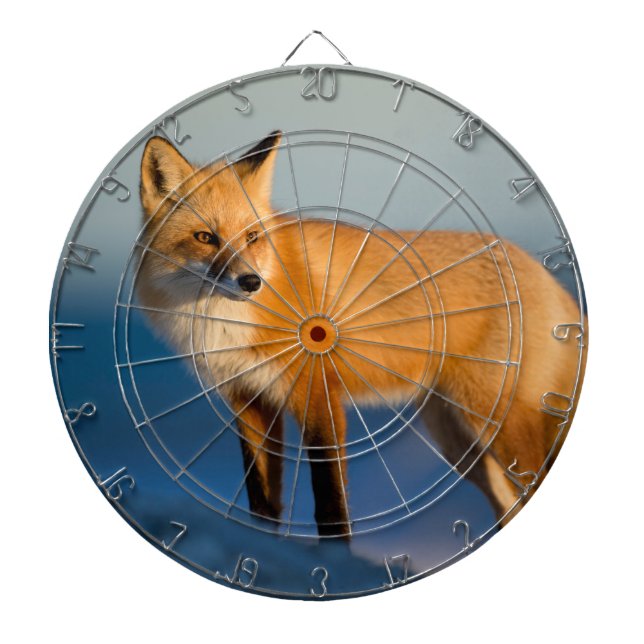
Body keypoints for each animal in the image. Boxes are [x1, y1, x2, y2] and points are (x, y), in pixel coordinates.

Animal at [136, 131, 584, 539]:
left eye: (252, 237)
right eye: (205, 237)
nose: (250, 282)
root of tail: (547, 277)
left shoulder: (318, 396)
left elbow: (330, 504)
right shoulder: (248, 401)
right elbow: (262, 503)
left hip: (501, 429)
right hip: (459, 440)